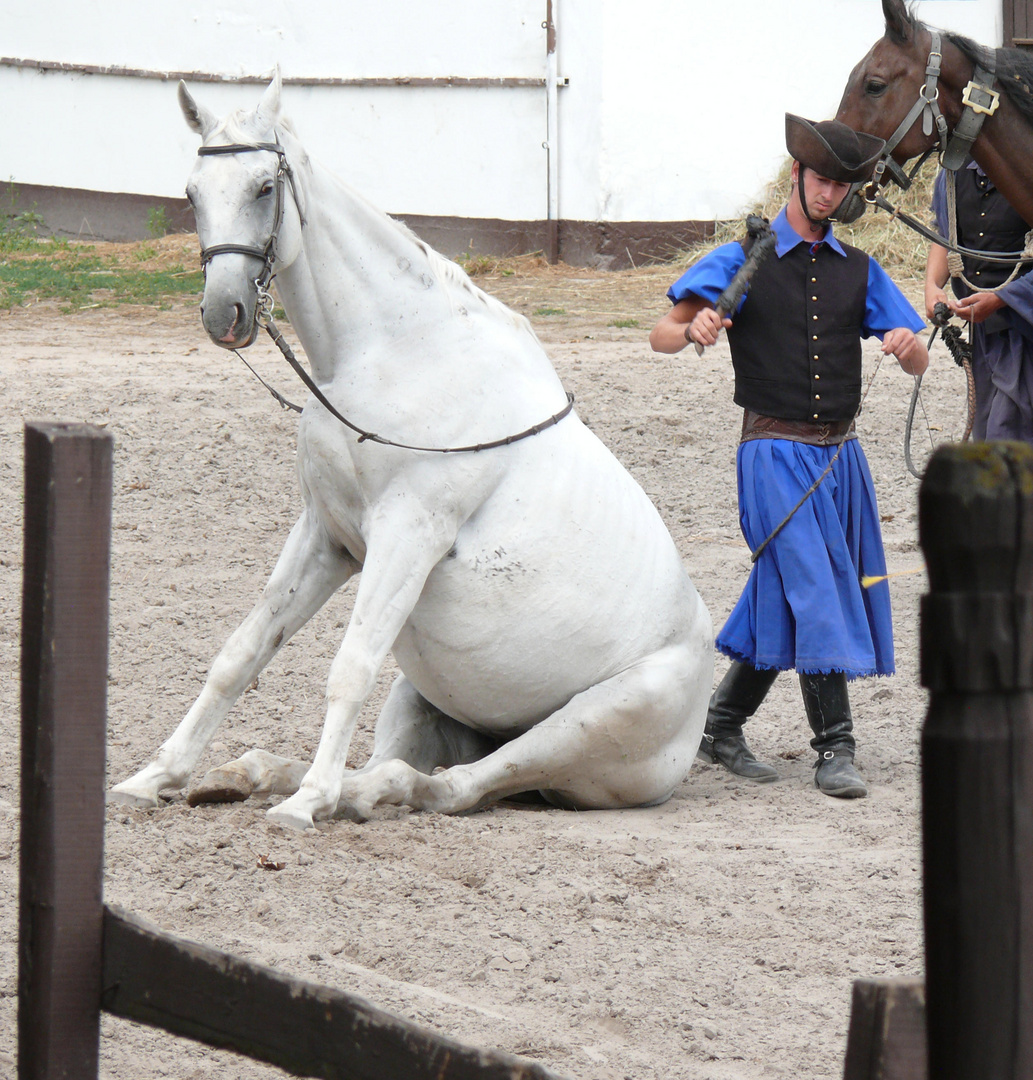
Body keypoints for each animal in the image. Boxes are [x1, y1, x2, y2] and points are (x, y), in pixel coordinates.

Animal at [109, 73, 713, 833]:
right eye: (192, 193)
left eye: (263, 188)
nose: (225, 315)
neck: (394, 350)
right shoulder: (327, 535)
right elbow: (240, 653)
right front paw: (155, 776)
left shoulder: (408, 534)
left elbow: (350, 666)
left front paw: (305, 807)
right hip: (423, 695)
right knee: (395, 762)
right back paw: (249, 772)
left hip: (584, 725)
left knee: (447, 785)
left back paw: (330, 792)